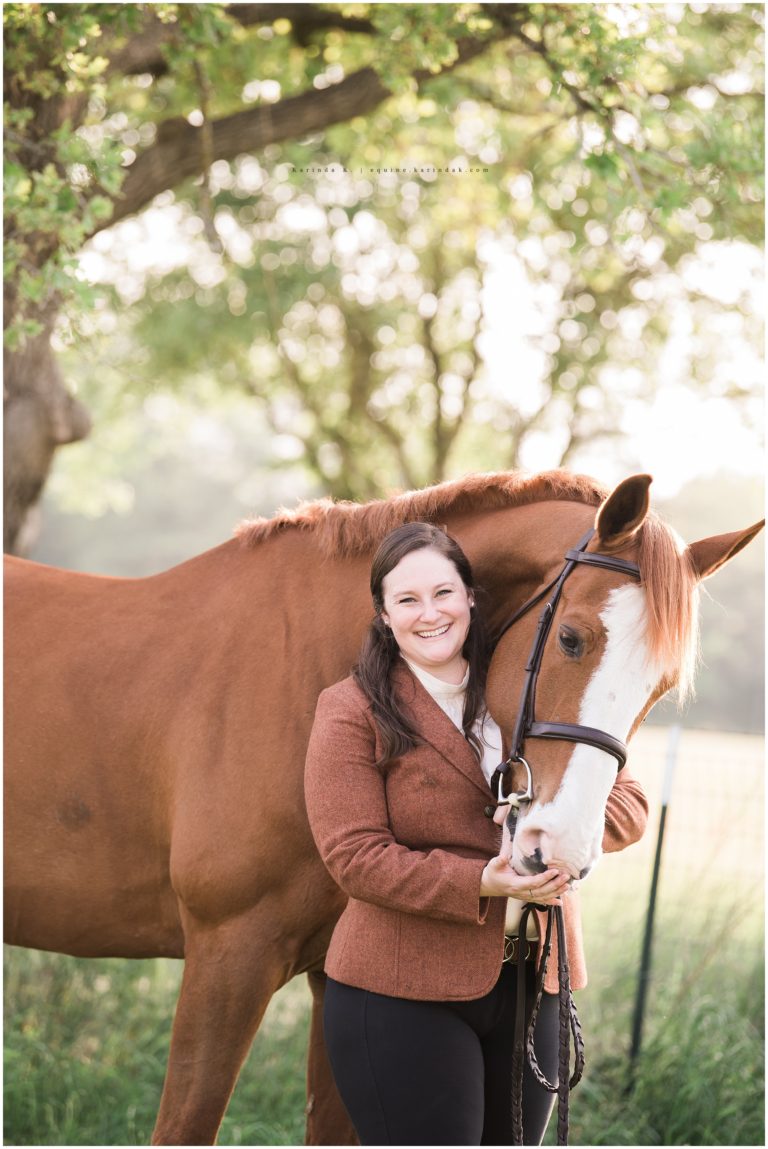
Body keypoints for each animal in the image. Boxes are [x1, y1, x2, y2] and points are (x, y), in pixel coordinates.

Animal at [4, 469, 762, 1145]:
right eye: (572, 637)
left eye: (659, 688)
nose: (559, 851)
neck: (307, 669)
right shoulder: (228, 954)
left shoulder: (332, 979)